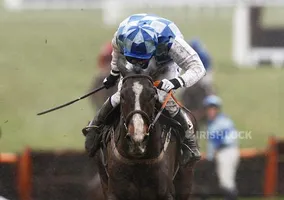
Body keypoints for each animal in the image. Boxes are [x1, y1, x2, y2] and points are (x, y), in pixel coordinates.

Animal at [94, 68, 196, 199]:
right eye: (122, 96)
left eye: (152, 96)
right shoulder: (114, 193)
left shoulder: (165, 193)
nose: (137, 138)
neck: (139, 159)